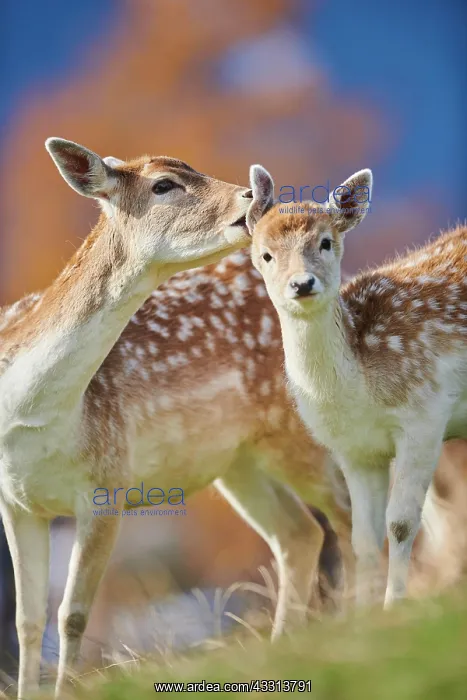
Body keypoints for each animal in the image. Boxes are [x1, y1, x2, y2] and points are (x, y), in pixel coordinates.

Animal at [247, 162, 467, 610]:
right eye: (266, 254)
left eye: (326, 242)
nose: (302, 284)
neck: (360, 390)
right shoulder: (353, 449)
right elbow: (363, 537)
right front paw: (364, 615)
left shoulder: (425, 413)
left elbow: (401, 523)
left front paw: (394, 607)